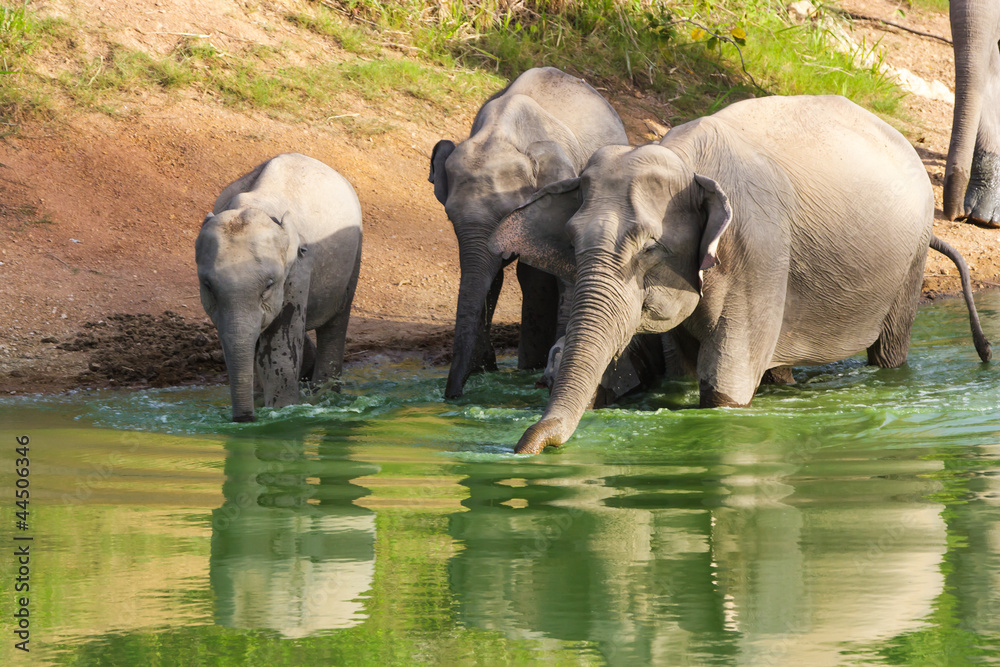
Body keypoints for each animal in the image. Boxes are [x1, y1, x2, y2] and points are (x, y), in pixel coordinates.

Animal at [195, 153, 363, 422]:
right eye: (208, 286)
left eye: (269, 285)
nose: (244, 418)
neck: (256, 205)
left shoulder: (298, 267)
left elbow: (279, 344)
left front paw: (283, 412)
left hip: (354, 257)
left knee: (336, 322)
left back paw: (325, 396)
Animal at [429, 66, 629, 398]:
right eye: (448, 217)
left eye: (506, 215)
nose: (452, 397)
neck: (498, 132)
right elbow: (490, 279)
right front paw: (484, 369)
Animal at [491, 95, 992, 454]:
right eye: (572, 243)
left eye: (649, 249)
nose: (526, 447)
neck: (685, 160)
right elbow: (685, 367)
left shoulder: (759, 250)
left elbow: (724, 386)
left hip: (909, 261)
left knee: (888, 352)